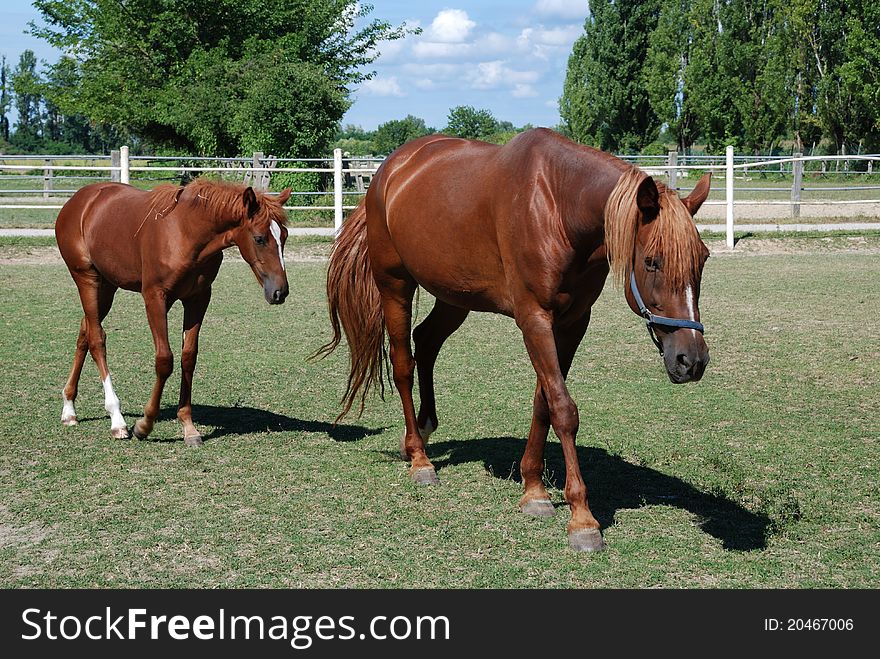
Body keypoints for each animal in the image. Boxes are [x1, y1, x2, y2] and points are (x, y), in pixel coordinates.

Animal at [55, 178, 292, 446]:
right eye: (260, 238)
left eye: (284, 236)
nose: (280, 292)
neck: (186, 232)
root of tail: (79, 200)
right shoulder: (155, 298)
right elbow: (164, 360)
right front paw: (145, 425)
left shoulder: (198, 299)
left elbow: (188, 357)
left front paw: (188, 426)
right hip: (88, 281)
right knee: (97, 340)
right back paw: (117, 420)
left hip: (106, 287)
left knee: (84, 332)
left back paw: (69, 409)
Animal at [320, 127, 712, 552]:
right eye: (653, 261)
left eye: (704, 257)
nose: (691, 360)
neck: (558, 205)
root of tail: (387, 171)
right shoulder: (534, 319)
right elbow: (563, 409)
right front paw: (582, 519)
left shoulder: (572, 323)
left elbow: (544, 403)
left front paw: (534, 489)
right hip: (395, 286)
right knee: (403, 363)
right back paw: (419, 459)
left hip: (454, 296)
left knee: (426, 341)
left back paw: (424, 429)